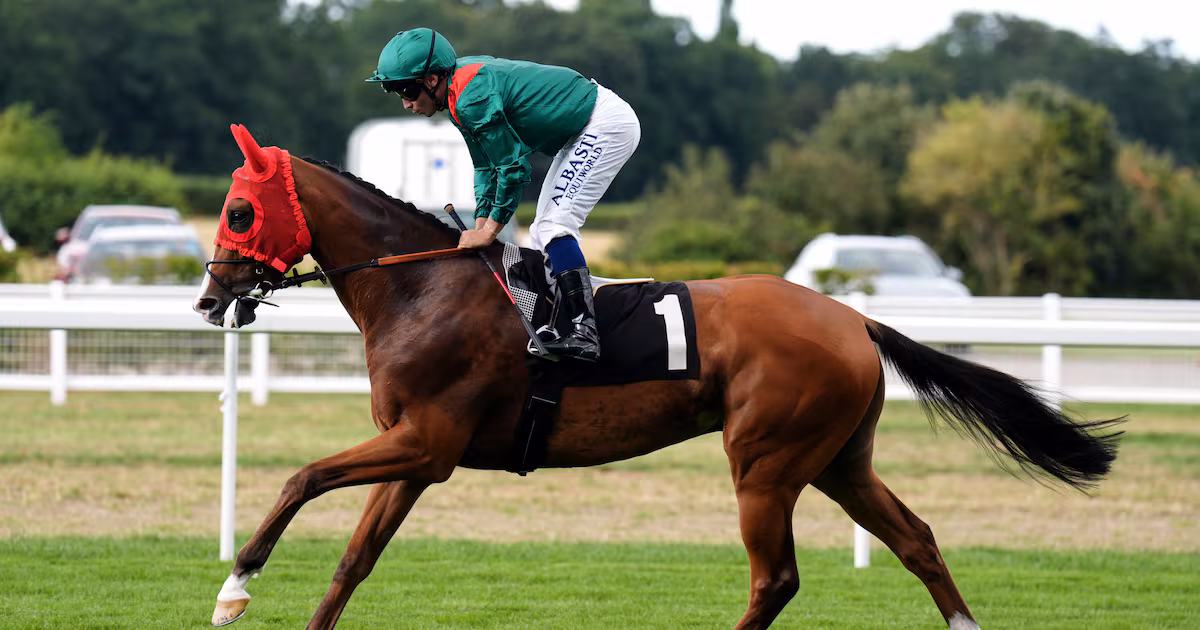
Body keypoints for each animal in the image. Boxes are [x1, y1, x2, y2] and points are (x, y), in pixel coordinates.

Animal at [194, 126, 1123, 630]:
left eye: (239, 209)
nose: (209, 296)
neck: (423, 286)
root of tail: (852, 318)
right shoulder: (417, 452)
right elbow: (355, 559)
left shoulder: (428, 442)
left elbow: (302, 476)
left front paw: (234, 587)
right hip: (837, 461)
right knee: (916, 539)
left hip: (767, 463)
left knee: (776, 578)